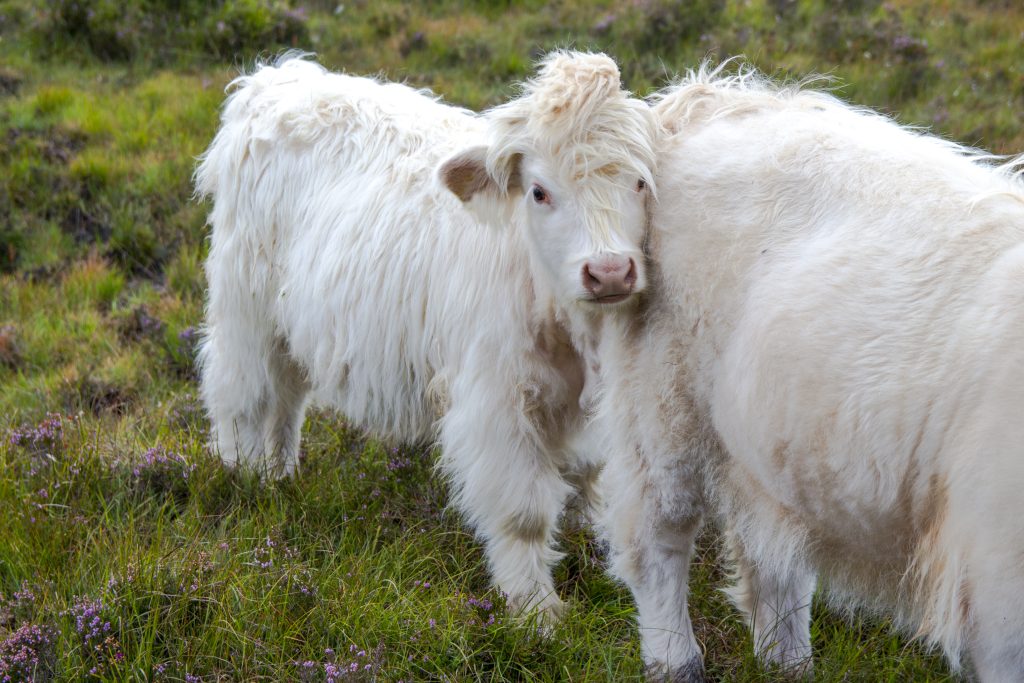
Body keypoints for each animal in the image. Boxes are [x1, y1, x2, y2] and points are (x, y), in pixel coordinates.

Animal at [192, 53, 655, 618]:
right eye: (540, 192)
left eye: (639, 182)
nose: (608, 272)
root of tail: (276, 78)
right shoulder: (497, 406)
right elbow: (524, 513)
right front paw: (535, 611)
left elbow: (592, 480)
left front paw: (600, 550)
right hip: (245, 308)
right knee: (242, 392)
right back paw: (245, 476)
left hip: (288, 322)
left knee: (285, 396)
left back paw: (280, 473)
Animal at [598, 62, 1024, 679]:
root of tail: (720, 95)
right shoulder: (998, 591)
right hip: (661, 403)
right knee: (658, 537)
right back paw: (676, 662)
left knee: (773, 556)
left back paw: (786, 663)